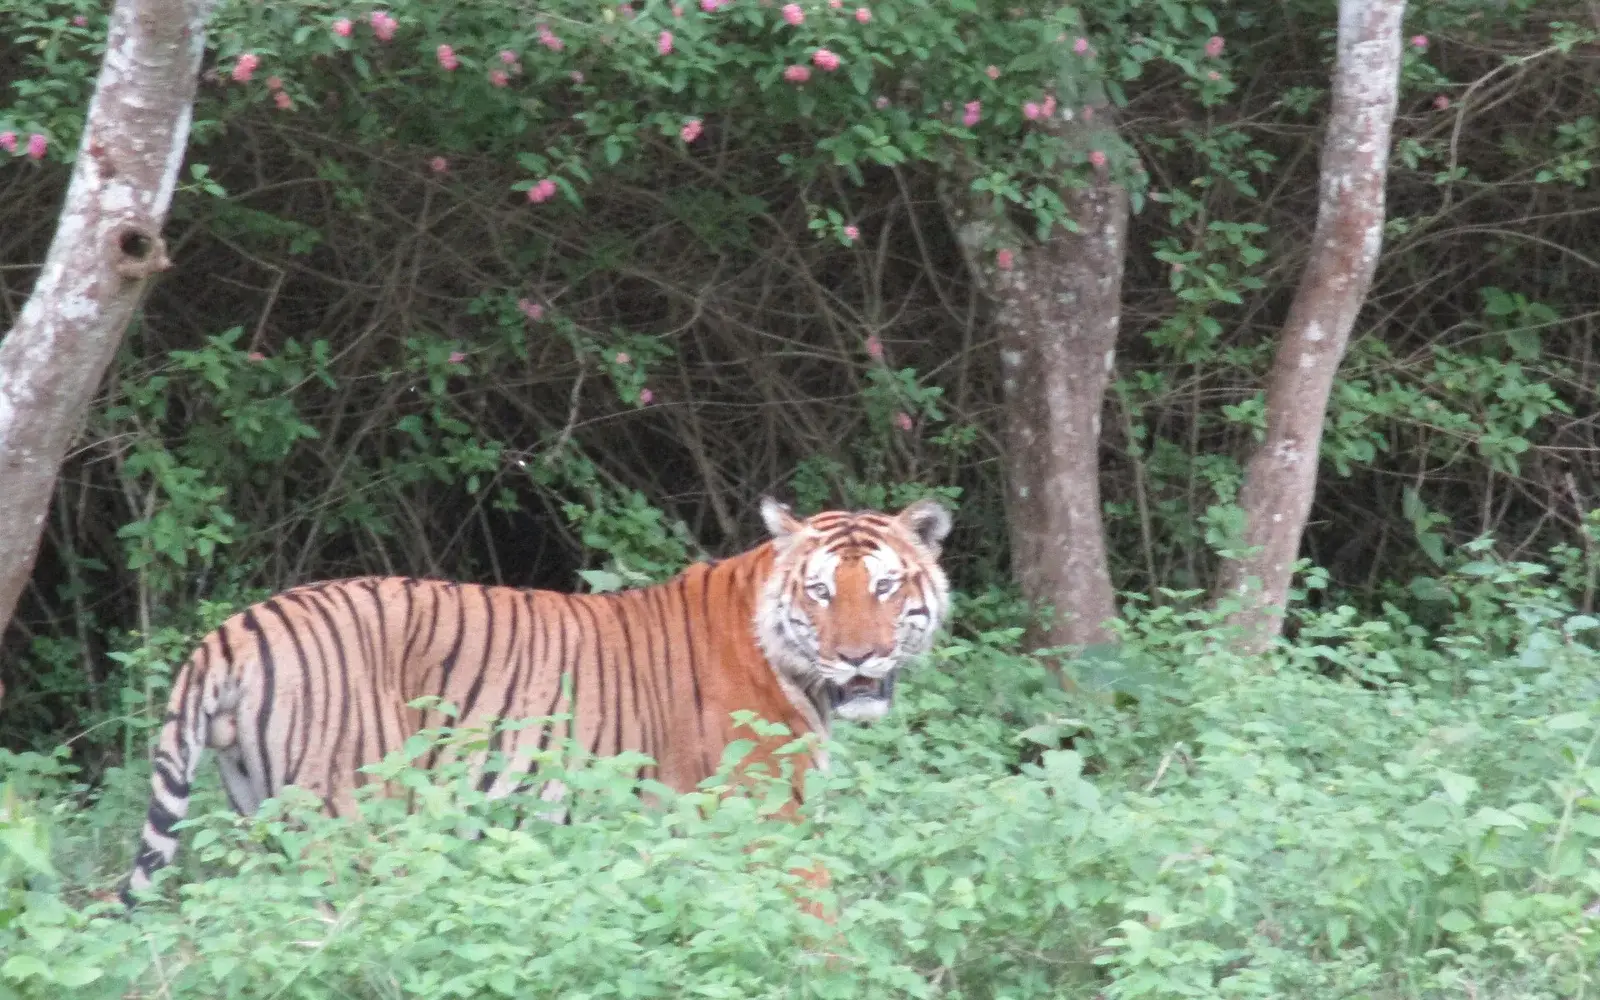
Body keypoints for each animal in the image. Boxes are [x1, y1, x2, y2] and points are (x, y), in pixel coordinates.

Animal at [122, 496, 952, 905]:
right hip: (351, 822)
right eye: (820, 592)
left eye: (885, 586)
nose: (858, 658)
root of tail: (232, 628)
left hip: (259, 815)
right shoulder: (768, 818)